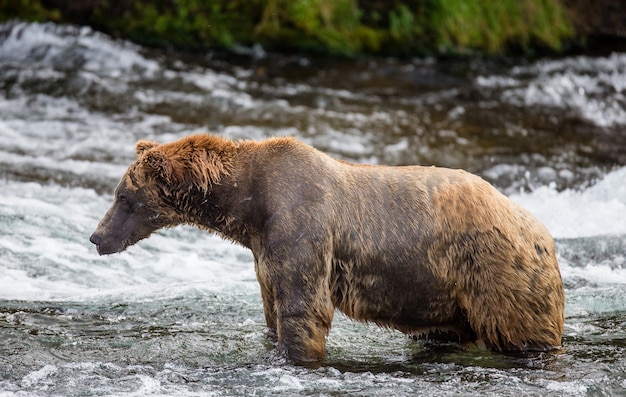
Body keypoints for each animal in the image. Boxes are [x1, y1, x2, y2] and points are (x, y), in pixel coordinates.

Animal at [90, 133, 564, 362]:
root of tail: (541, 229)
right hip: (441, 295)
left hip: (497, 275)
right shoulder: (265, 253)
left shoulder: (302, 231)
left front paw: (298, 356)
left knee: (523, 331)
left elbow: (304, 309)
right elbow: (273, 308)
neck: (250, 206)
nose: (96, 237)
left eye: (123, 197)